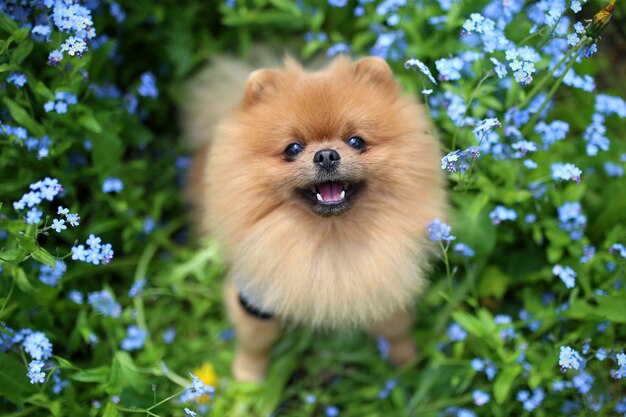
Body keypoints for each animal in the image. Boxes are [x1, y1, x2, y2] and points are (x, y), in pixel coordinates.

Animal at [183, 53, 446, 382]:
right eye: (293, 148)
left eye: (356, 141)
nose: (326, 155)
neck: (330, 236)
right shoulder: (255, 297)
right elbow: (255, 340)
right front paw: (247, 377)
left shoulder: (385, 281)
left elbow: (395, 327)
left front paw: (406, 361)